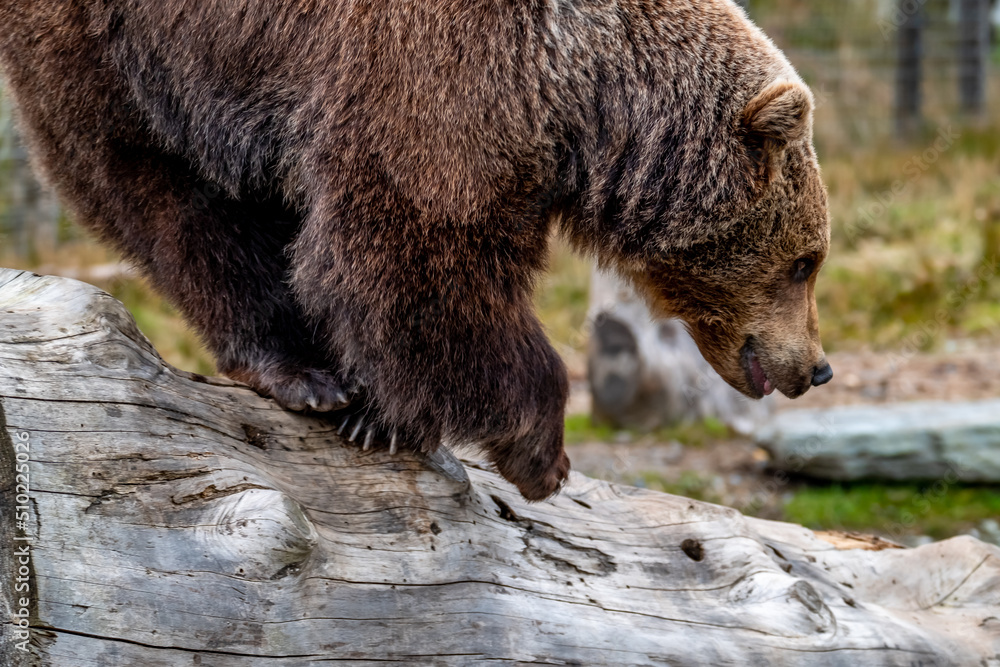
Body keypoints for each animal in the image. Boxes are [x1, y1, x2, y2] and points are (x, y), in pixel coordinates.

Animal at [0, 0, 832, 501]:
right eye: (806, 261)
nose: (815, 367)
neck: (586, 95)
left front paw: (385, 414)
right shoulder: (441, 77)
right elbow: (420, 254)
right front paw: (539, 452)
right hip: (120, 46)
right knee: (169, 190)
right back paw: (301, 372)